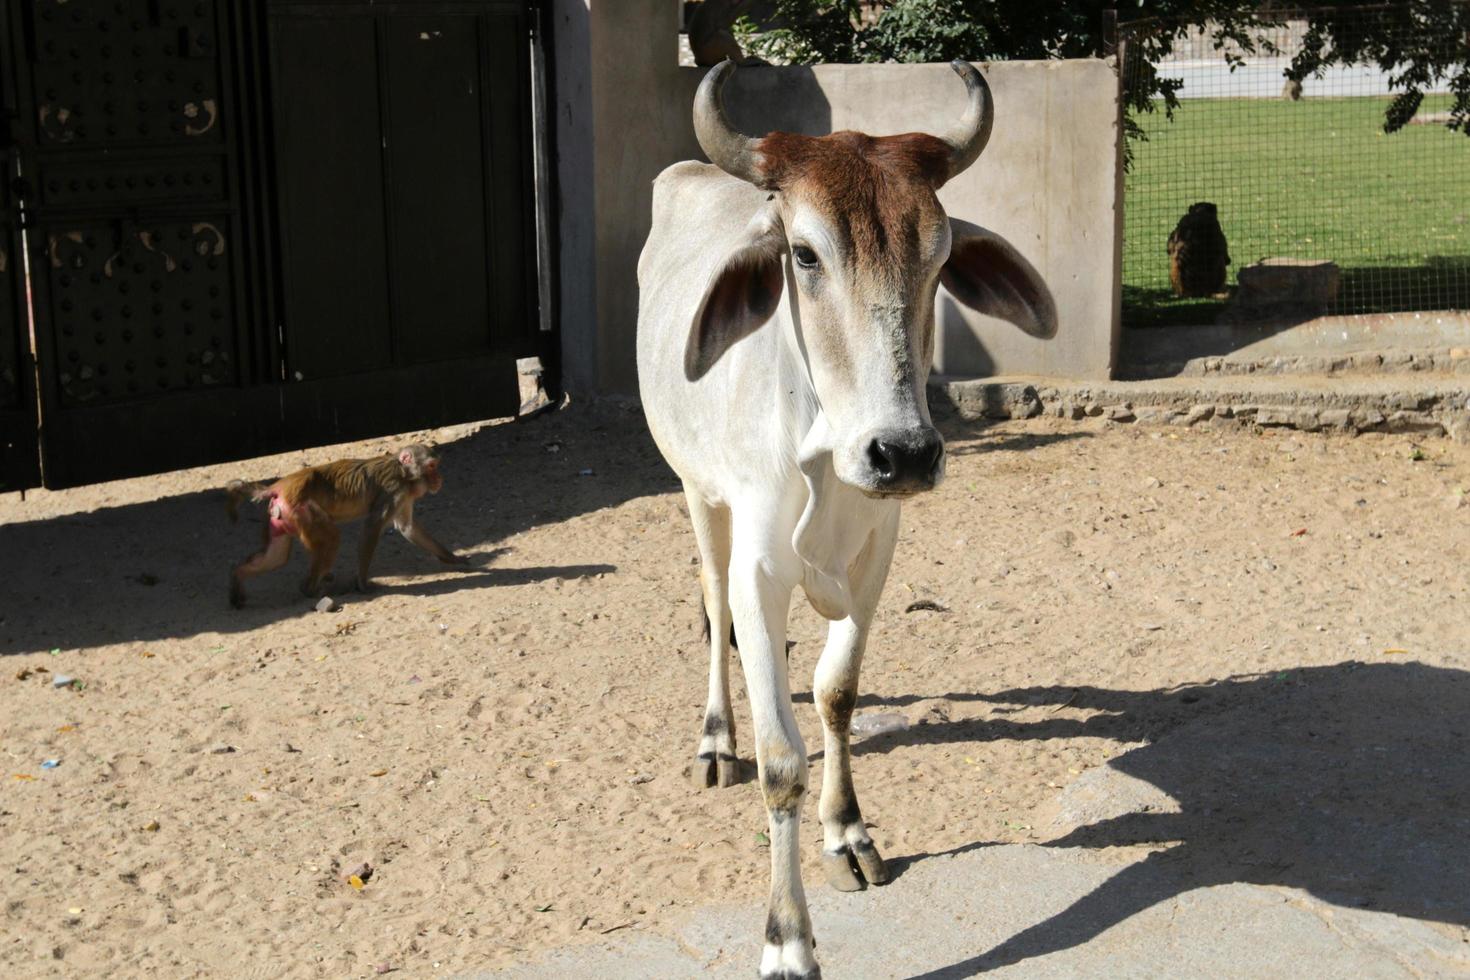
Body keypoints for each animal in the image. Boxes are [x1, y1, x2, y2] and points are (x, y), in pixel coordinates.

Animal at [223, 443, 467, 608]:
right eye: (432, 466)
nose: (439, 478)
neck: (403, 473)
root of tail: (279, 487)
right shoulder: (394, 491)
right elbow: (372, 527)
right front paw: (363, 584)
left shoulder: (405, 495)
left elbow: (408, 528)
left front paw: (453, 558)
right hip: (302, 510)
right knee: (331, 539)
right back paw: (313, 590)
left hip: (282, 518)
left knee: (276, 556)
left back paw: (237, 577)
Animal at [637, 63, 1052, 980]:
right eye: (803, 253)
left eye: (939, 256)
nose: (903, 454)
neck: (824, 448)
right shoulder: (759, 570)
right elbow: (782, 760)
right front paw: (787, 940)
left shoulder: (874, 558)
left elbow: (837, 695)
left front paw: (848, 831)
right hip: (696, 494)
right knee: (712, 608)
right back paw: (717, 739)